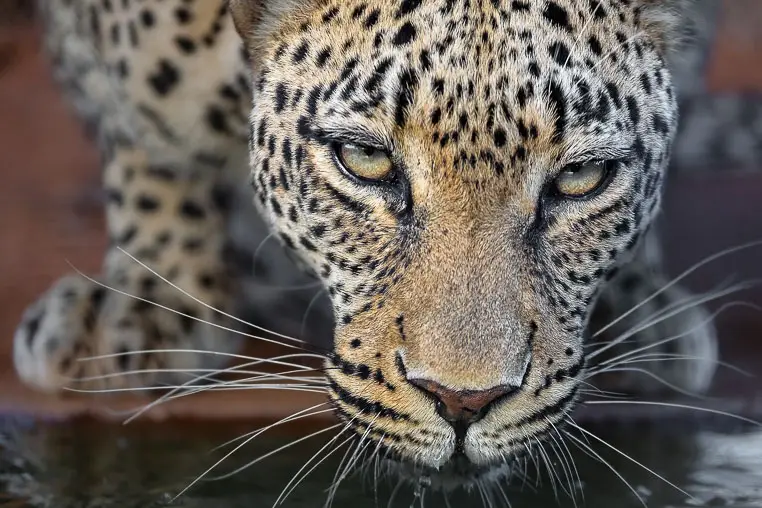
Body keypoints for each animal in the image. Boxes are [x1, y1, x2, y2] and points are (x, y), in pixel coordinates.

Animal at [12, 0, 762, 496]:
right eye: (366, 161)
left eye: (582, 178)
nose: (464, 403)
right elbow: (150, 130)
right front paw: (148, 297)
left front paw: (639, 303)